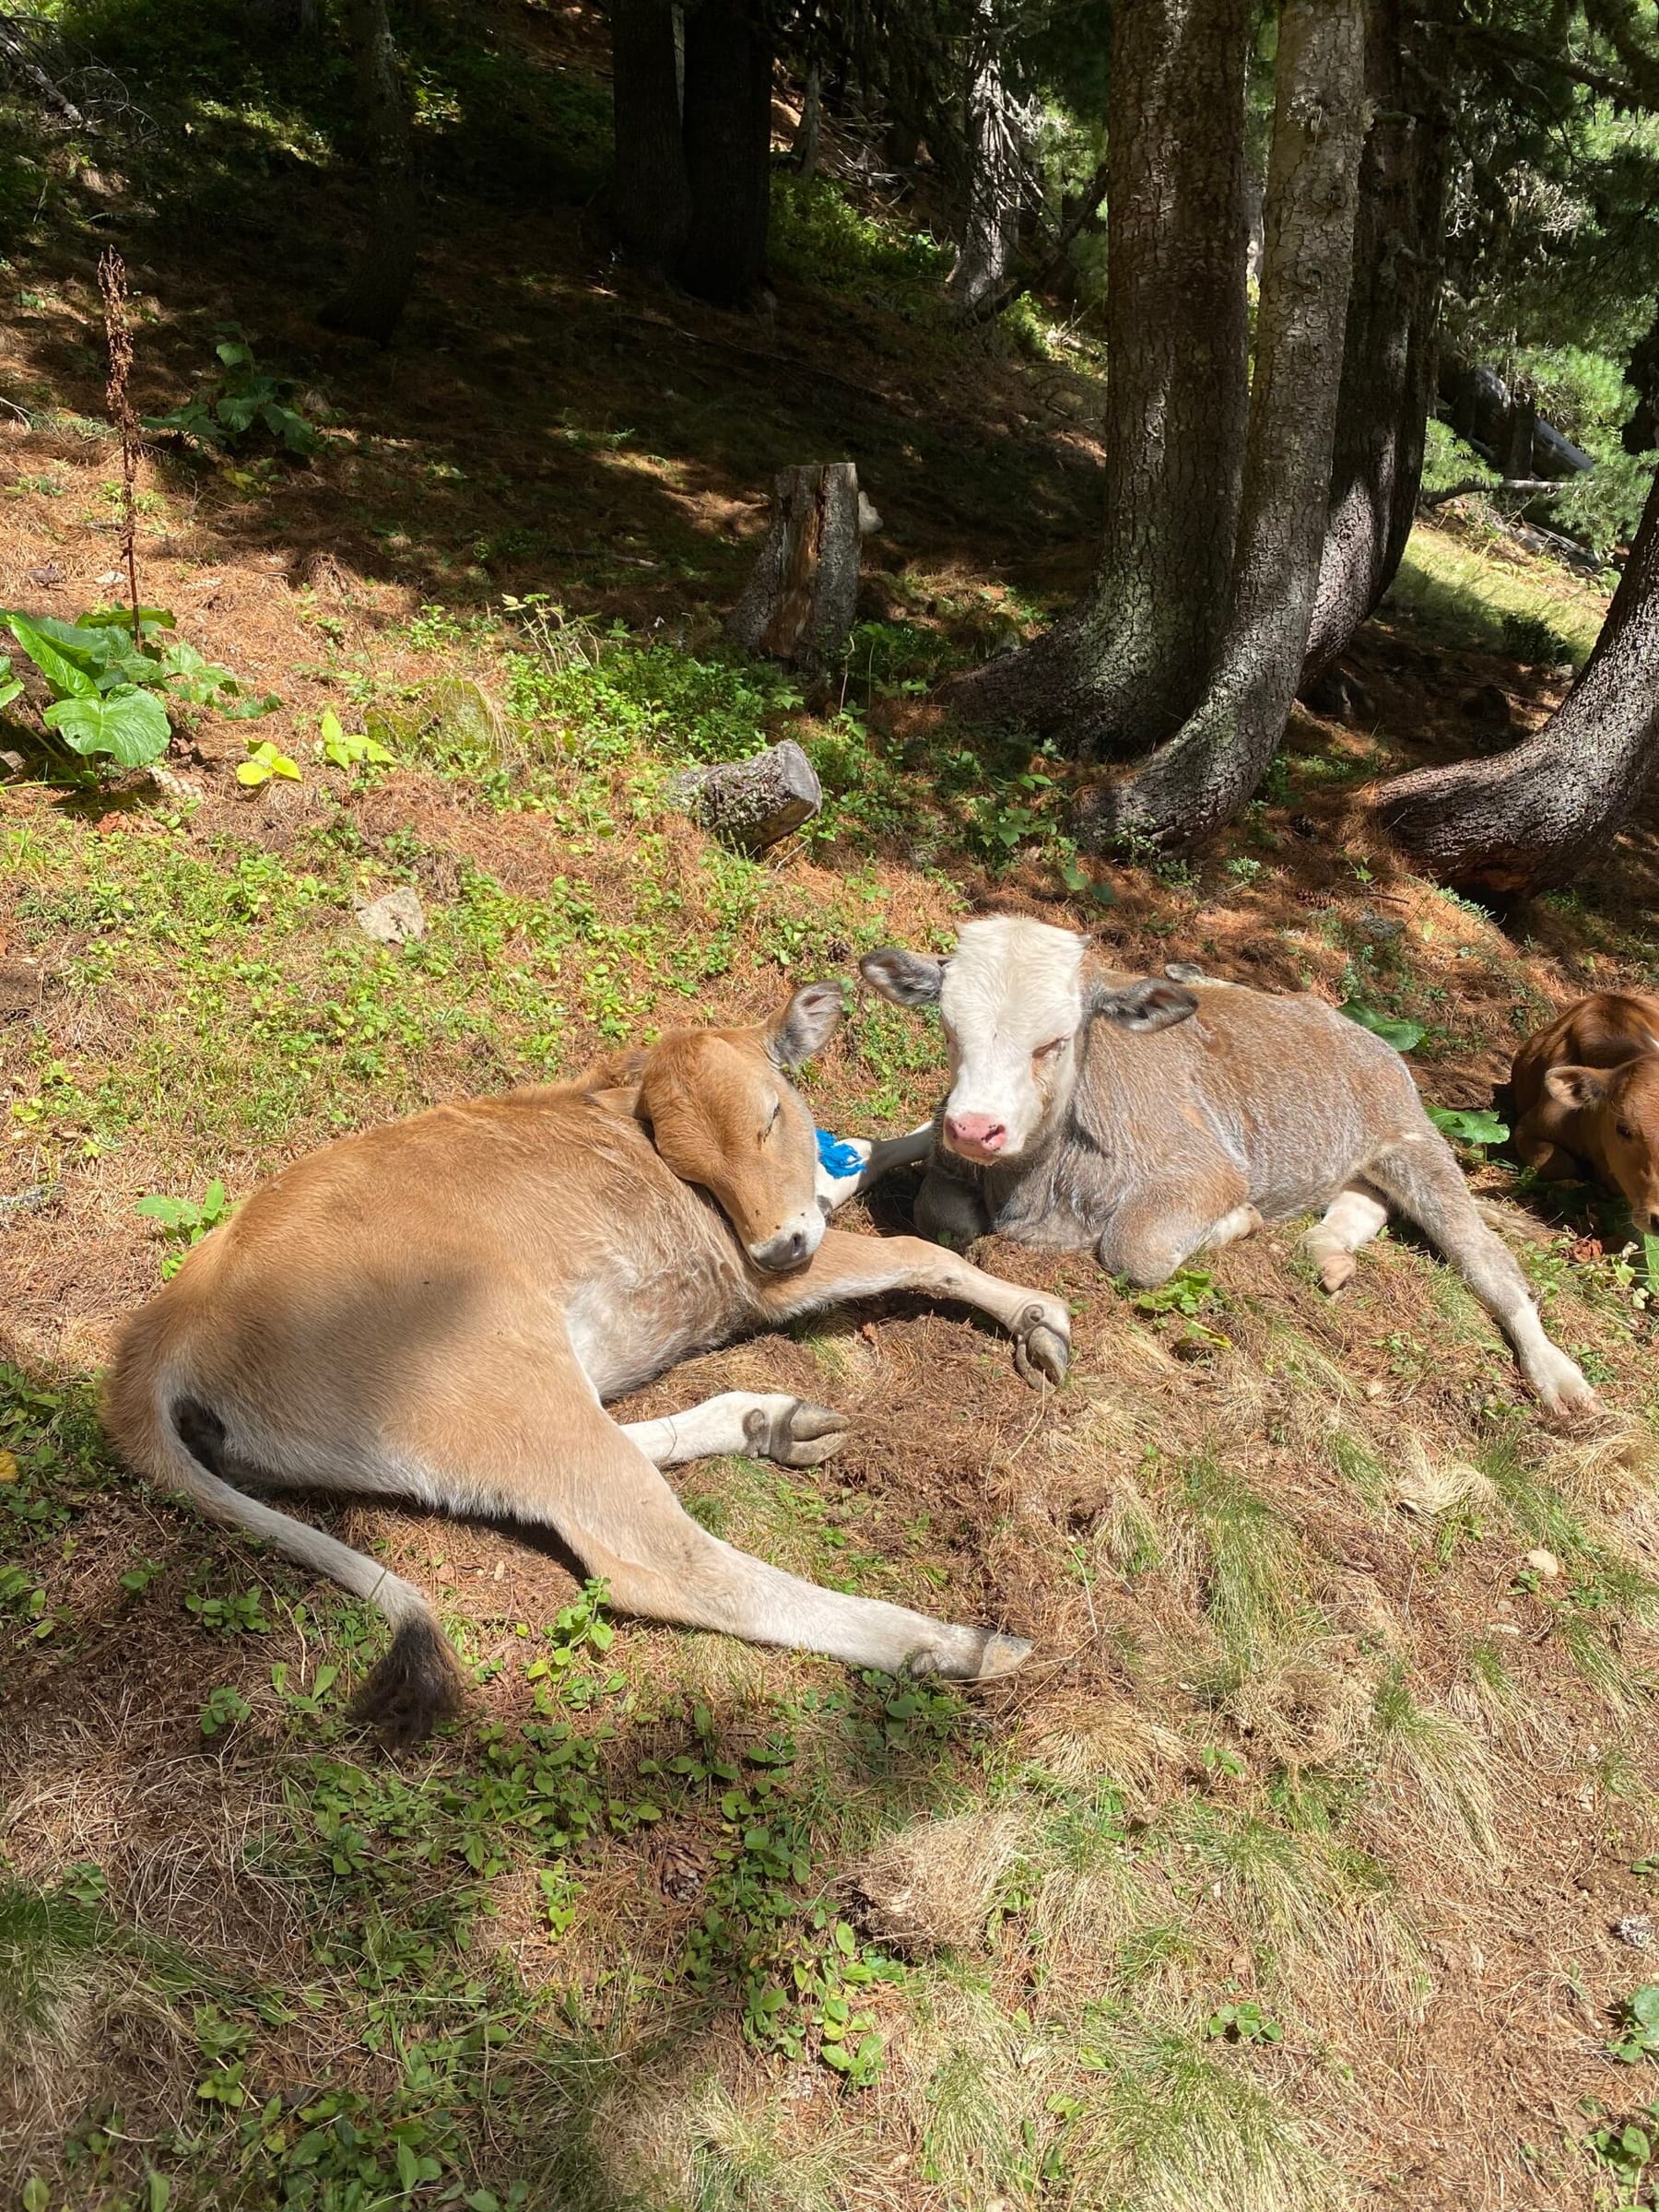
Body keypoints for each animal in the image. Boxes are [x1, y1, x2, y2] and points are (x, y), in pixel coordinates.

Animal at [104, 984, 1071, 1742]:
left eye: (769, 1115)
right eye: (690, 1165)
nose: (778, 1244)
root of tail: (171, 1320)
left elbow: (872, 1152)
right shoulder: (769, 1280)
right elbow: (918, 1249)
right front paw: (1042, 1318)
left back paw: (769, 1421)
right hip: (502, 1367)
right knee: (661, 1562)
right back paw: (957, 1644)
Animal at [859, 916, 1595, 1416]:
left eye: (1055, 1040)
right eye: (949, 1029)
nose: (974, 1127)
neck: (1037, 1184)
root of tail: (1352, 1026)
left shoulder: (1207, 1170)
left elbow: (1136, 1248)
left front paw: (1237, 1223)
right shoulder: (953, 1167)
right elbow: (940, 1217)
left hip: (1411, 1136)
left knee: (1484, 1257)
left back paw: (1558, 1377)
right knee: (1363, 1199)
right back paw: (1326, 1253)